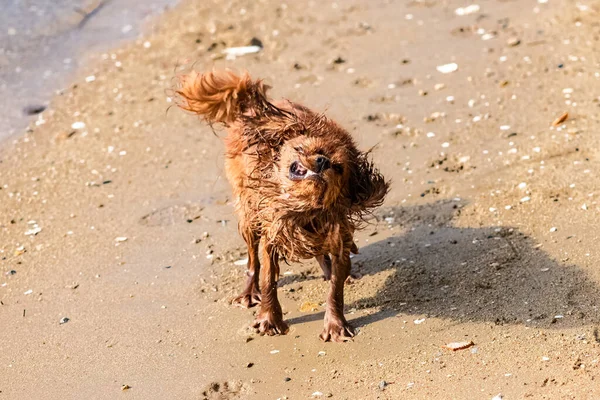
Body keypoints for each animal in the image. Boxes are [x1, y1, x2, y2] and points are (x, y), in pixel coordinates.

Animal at [176, 71, 390, 340]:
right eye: (313, 150)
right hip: (248, 217)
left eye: (338, 167)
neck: (302, 211)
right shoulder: (271, 232)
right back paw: (248, 294)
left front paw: (335, 324)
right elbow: (268, 279)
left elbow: (335, 289)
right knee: (252, 262)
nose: (322, 161)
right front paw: (269, 320)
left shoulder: (337, 236)